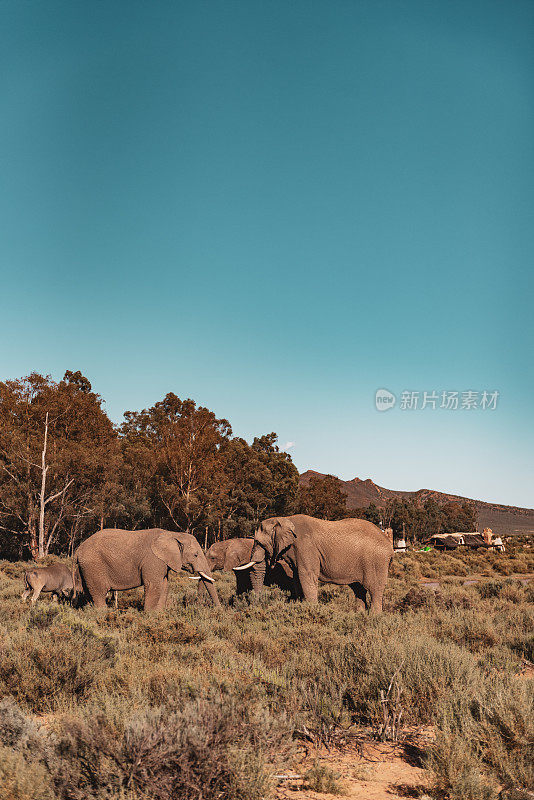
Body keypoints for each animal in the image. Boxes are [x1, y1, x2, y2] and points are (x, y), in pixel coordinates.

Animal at [74, 528, 221, 608]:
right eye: (195, 555)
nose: (219, 610)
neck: (172, 534)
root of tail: (78, 549)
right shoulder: (153, 560)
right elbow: (153, 585)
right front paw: (149, 617)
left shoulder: (162, 562)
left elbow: (164, 585)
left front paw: (159, 616)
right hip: (94, 565)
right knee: (99, 593)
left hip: (85, 568)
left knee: (88, 592)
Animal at [234, 512, 394, 612]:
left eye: (259, 543)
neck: (284, 519)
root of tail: (388, 542)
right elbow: (297, 579)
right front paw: (299, 606)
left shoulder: (306, 547)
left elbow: (307, 576)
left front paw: (311, 609)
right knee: (358, 589)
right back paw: (359, 615)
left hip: (376, 561)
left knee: (374, 589)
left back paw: (373, 618)